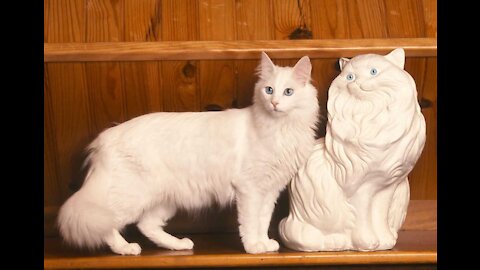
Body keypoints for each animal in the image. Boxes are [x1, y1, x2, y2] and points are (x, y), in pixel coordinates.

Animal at [57, 52, 318, 255]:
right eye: (269, 90)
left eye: (288, 92)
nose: (274, 103)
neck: (280, 129)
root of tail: (107, 137)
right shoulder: (250, 189)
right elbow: (250, 222)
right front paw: (254, 247)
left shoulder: (270, 190)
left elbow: (263, 220)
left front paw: (265, 243)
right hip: (132, 196)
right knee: (107, 224)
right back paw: (126, 248)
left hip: (164, 199)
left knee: (146, 225)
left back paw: (178, 245)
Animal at [280, 48, 426, 251]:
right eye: (349, 76)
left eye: (373, 71)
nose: (354, 81)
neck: (371, 115)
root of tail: (291, 216)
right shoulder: (359, 185)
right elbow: (363, 217)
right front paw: (366, 243)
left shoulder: (387, 184)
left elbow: (379, 215)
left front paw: (385, 241)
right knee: (306, 236)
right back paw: (336, 242)